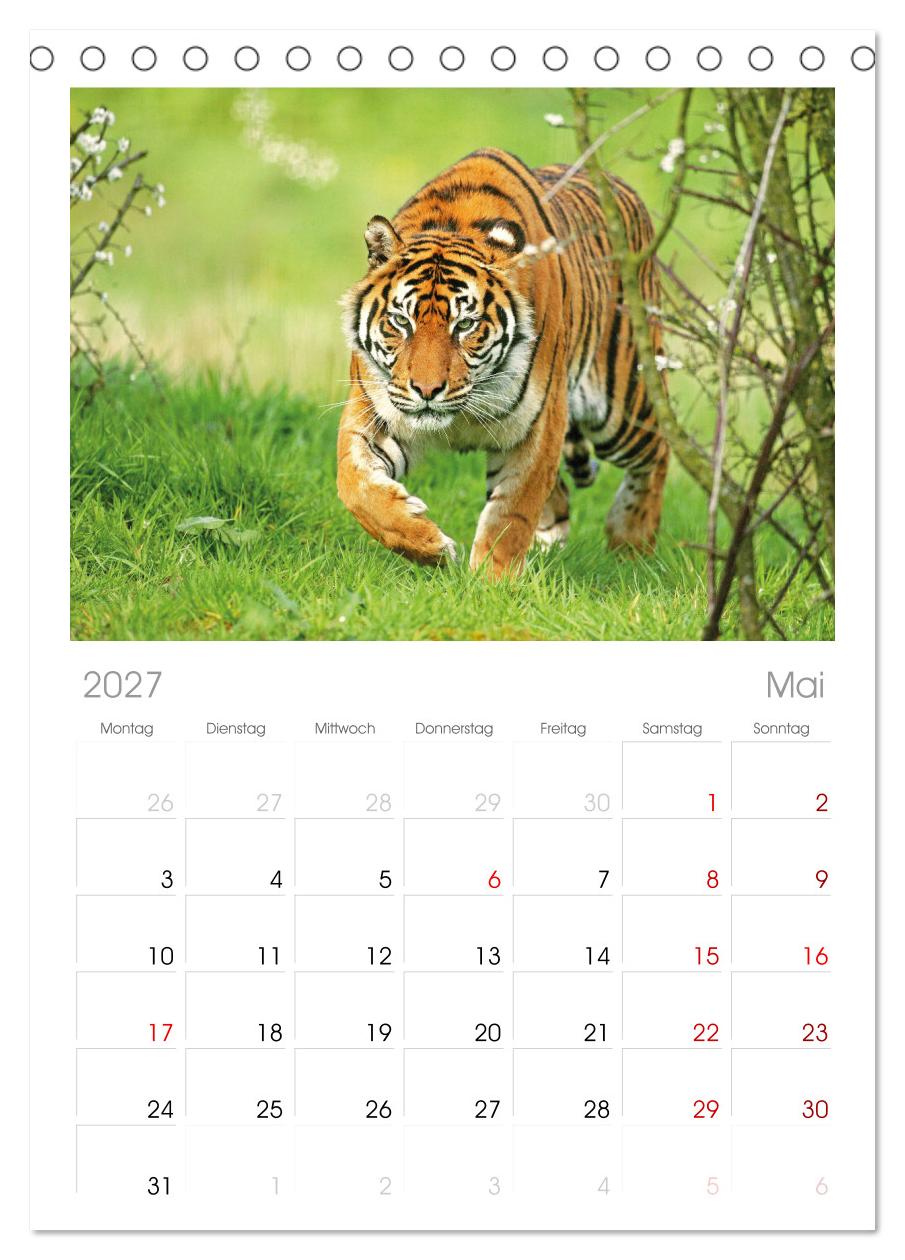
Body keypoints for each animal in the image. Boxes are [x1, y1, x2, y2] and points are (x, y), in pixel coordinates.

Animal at [337, 147, 669, 578]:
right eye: (401, 321)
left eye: (465, 324)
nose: (427, 390)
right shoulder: (375, 411)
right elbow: (355, 486)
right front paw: (430, 546)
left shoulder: (539, 425)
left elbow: (511, 516)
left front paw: (492, 582)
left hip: (622, 408)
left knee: (661, 447)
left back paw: (631, 542)